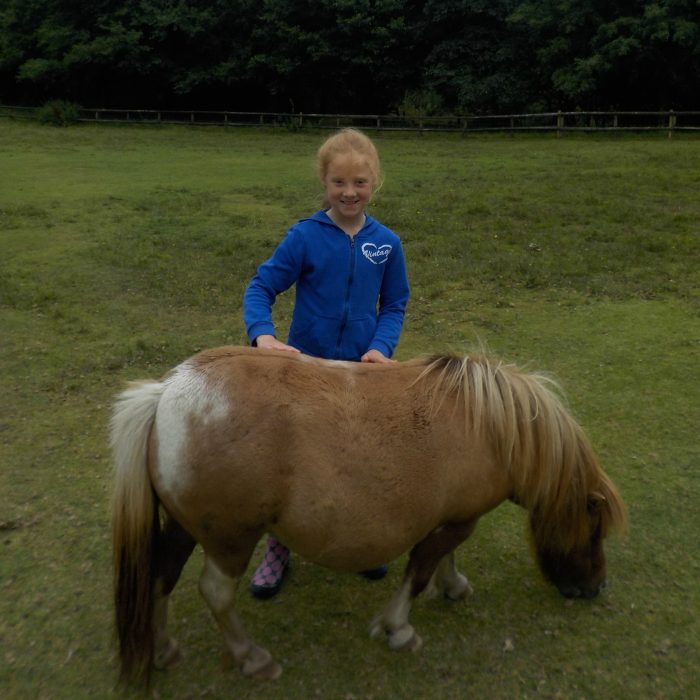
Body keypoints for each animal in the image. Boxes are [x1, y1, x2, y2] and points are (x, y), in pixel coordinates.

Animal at [112, 344, 628, 684]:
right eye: (594, 528)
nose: (597, 587)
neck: (491, 425)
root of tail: (166, 393)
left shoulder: (453, 518)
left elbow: (445, 559)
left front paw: (453, 585)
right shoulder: (453, 523)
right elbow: (418, 573)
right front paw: (399, 628)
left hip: (183, 526)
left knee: (161, 573)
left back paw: (163, 648)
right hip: (229, 537)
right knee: (216, 592)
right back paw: (251, 657)